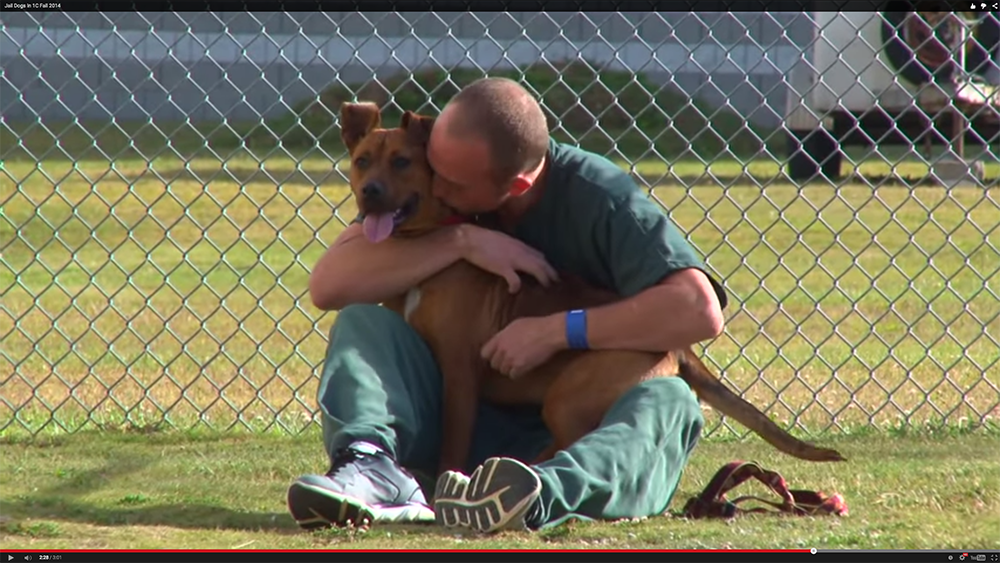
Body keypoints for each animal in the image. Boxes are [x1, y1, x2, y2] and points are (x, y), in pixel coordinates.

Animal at [340, 100, 848, 476]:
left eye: (403, 162)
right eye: (361, 161)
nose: (370, 192)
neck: (433, 238)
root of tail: (680, 347)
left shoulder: (460, 371)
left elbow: (454, 440)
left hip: (570, 394)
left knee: (572, 441)